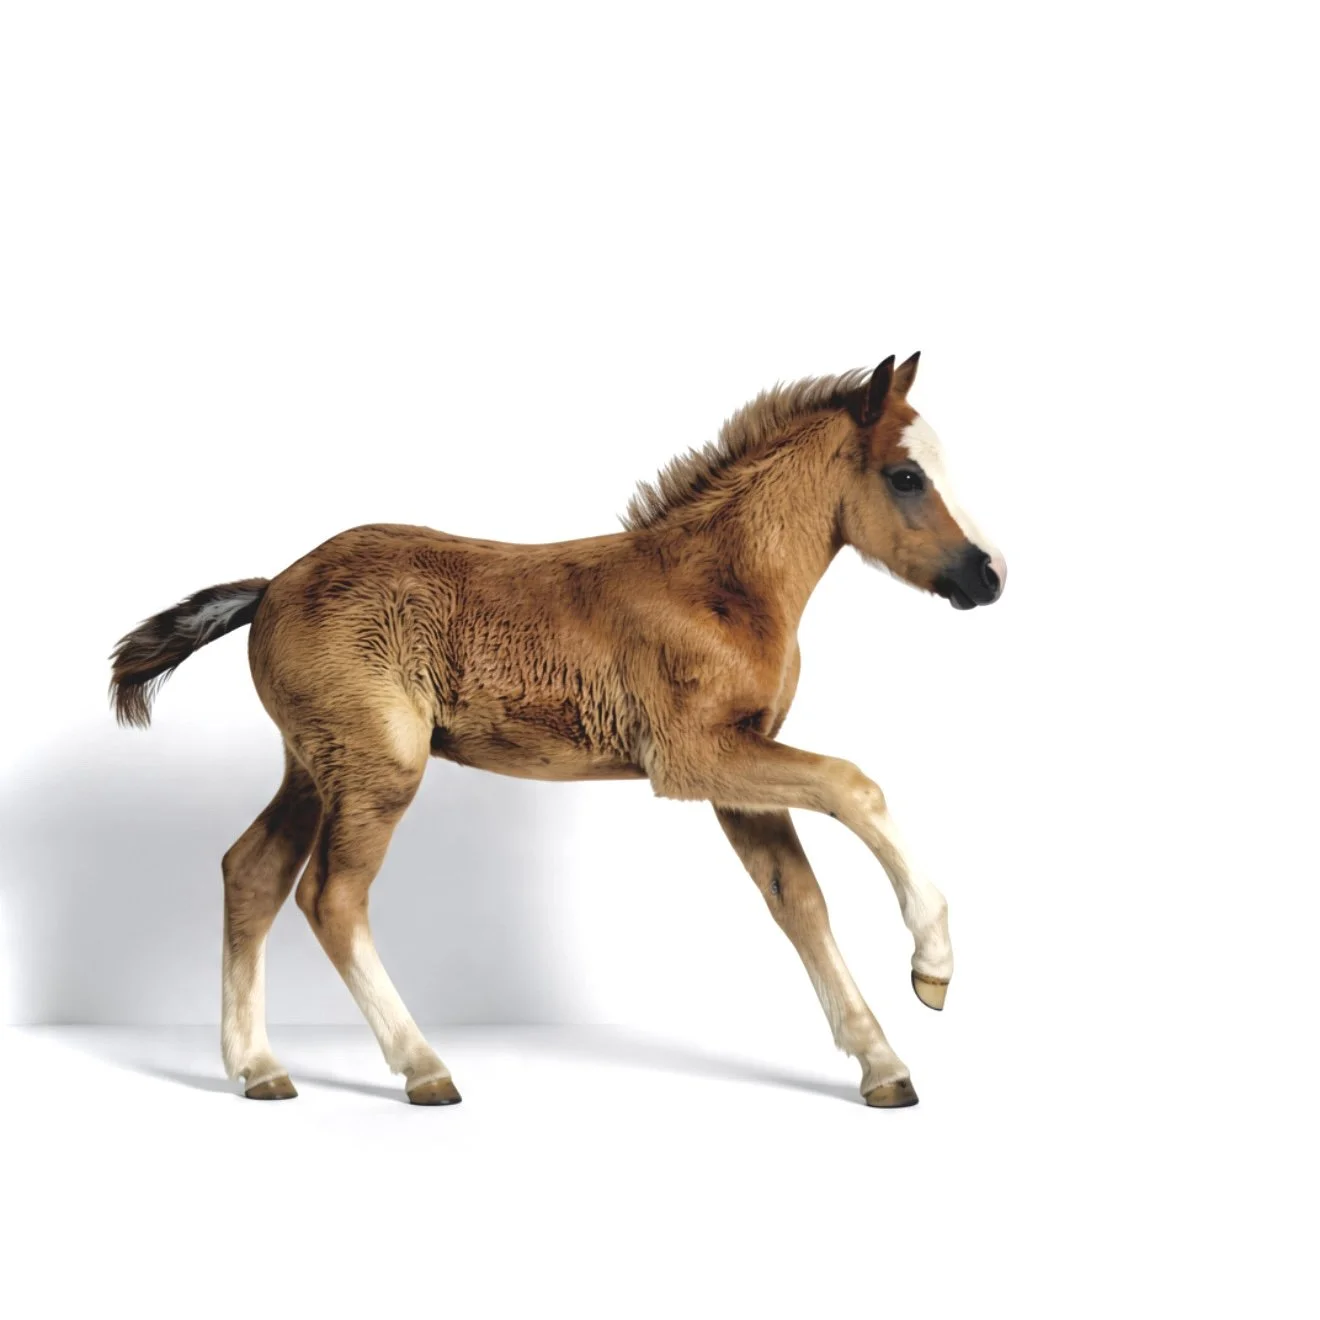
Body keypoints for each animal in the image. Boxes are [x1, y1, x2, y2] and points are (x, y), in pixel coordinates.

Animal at [109, 352, 1005, 1108]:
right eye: (906, 476)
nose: (989, 576)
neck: (718, 586)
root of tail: (270, 589)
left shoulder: (736, 771)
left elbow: (798, 902)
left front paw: (882, 1064)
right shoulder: (693, 757)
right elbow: (856, 785)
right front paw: (933, 965)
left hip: (313, 763)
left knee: (251, 872)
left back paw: (258, 1069)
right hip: (377, 767)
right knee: (329, 895)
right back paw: (422, 1067)